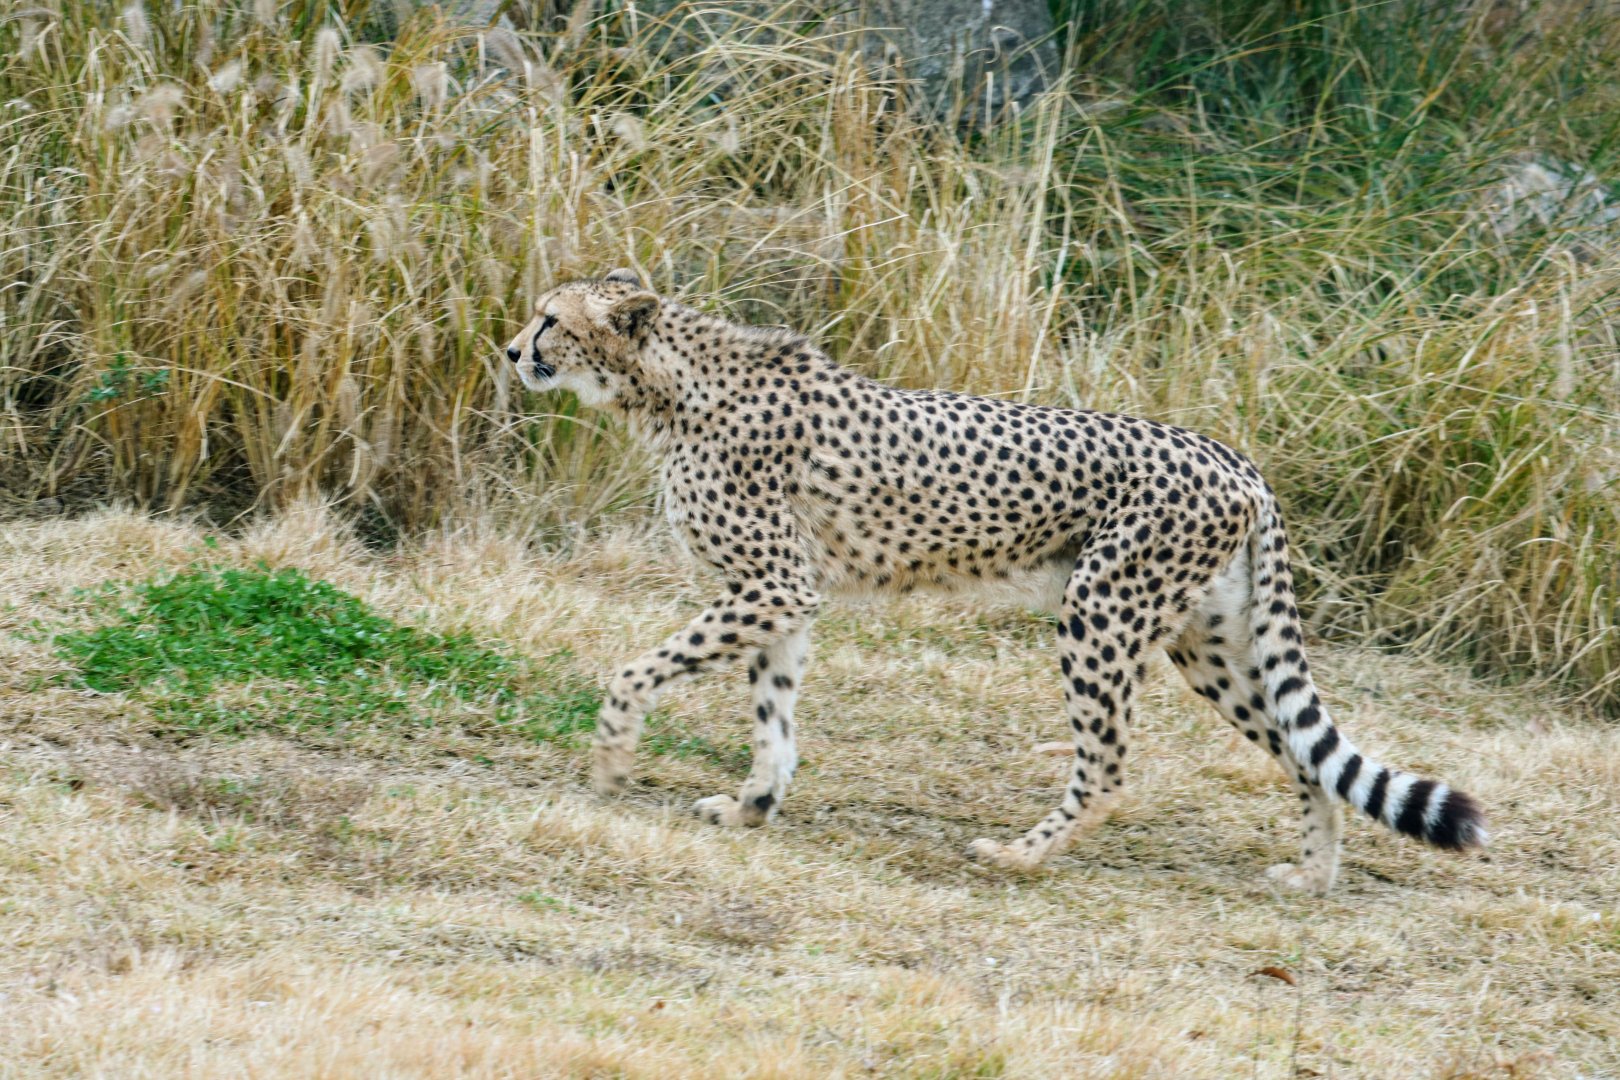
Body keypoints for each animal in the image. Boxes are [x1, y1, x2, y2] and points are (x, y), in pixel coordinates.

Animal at [503, 269, 1488, 894]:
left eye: (551, 319)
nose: (512, 350)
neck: (668, 385)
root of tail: (1235, 457)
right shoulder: (788, 595)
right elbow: (773, 719)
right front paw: (752, 807)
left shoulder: (776, 583)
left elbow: (637, 670)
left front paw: (610, 760)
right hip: (1206, 643)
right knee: (1300, 752)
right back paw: (1313, 875)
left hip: (1100, 610)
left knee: (1110, 768)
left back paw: (1021, 855)